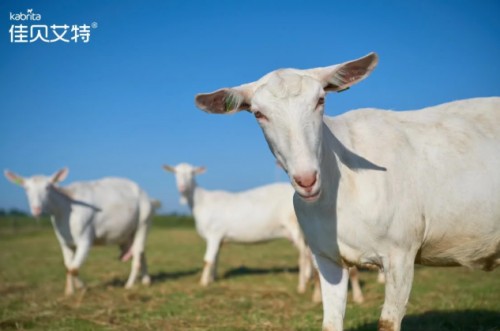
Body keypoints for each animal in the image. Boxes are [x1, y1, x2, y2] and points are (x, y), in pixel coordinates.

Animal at [3, 169, 155, 296]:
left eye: (48, 187)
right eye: (26, 188)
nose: (36, 210)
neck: (65, 207)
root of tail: (143, 192)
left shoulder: (85, 237)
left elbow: (74, 268)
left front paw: (83, 287)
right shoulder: (64, 242)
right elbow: (68, 267)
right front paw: (69, 291)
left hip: (144, 220)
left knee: (137, 252)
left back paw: (129, 285)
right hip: (129, 232)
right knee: (141, 251)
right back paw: (146, 280)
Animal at [193, 52, 500, 331]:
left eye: (321, 100)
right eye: (258, 113)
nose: (306, 179)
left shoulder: (401, 253)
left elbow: (388, 323)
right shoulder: (326, 257)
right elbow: (330, 323)